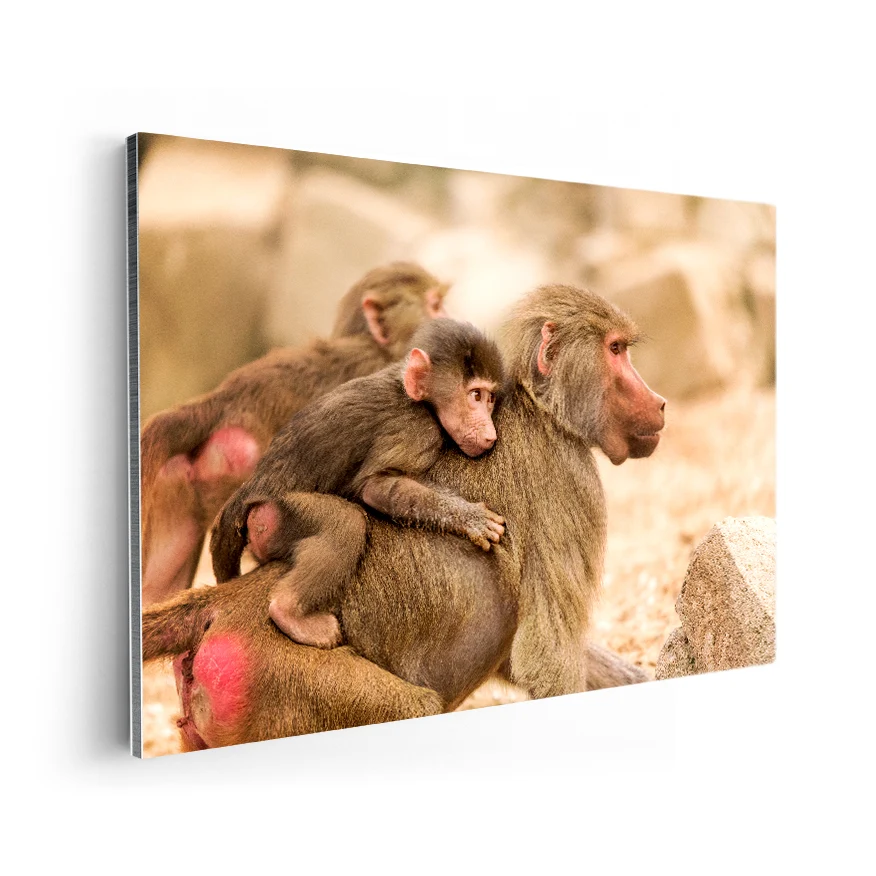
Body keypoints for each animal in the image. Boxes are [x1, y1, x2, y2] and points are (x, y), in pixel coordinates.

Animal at [209, 318, 507, 648]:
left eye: (490, 398)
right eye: (475, 395)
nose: (490, 434)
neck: (416, 397)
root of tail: (247, 494)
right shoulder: (415, 428)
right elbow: (376, 487)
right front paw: (470, 517)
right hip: (276, 515)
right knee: (346, 523)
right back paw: (289, 613)